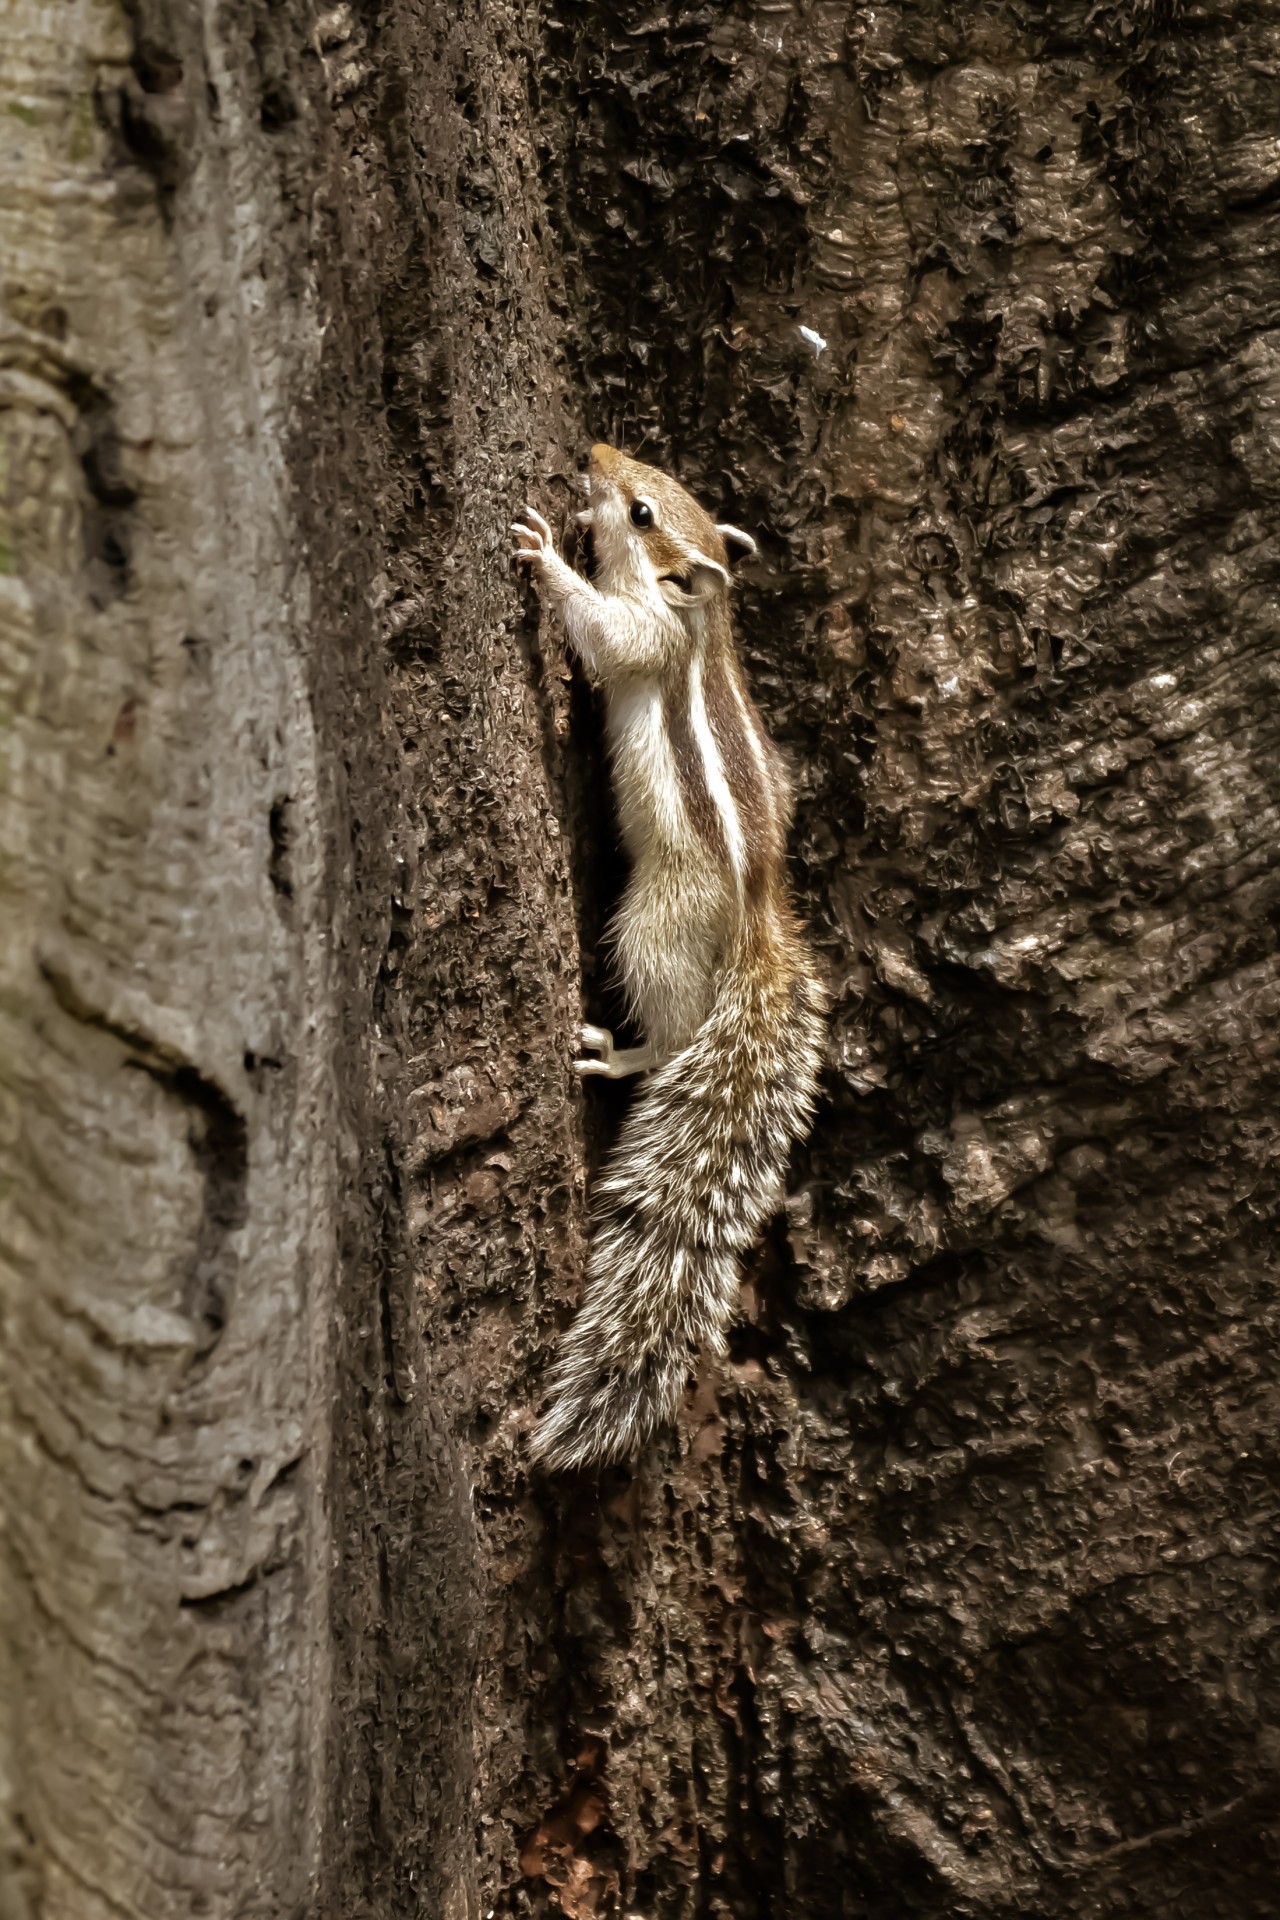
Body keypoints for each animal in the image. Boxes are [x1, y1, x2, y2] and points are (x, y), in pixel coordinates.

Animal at [513, 443, 825, 1471]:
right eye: (647, 474)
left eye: (643, 512)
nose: (594, 454)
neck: (700, 620)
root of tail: (759, 925)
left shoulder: (643, 636)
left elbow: (605, 635)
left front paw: (547, 556)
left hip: (655, 925)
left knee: (679, 1029)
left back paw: (619, 1054)